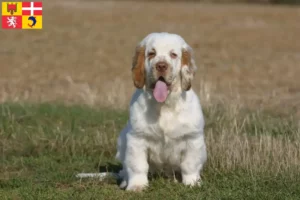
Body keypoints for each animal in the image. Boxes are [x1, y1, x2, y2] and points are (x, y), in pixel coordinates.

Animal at [116, 32, 207, 191]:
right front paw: (137, 186)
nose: (161, 66)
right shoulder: (137, 138)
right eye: (152, 53)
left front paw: (192, 183)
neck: (164, 106)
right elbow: (137, 165)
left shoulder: (193, 138)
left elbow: (190, 164)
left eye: (173, 54)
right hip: (122, 139)